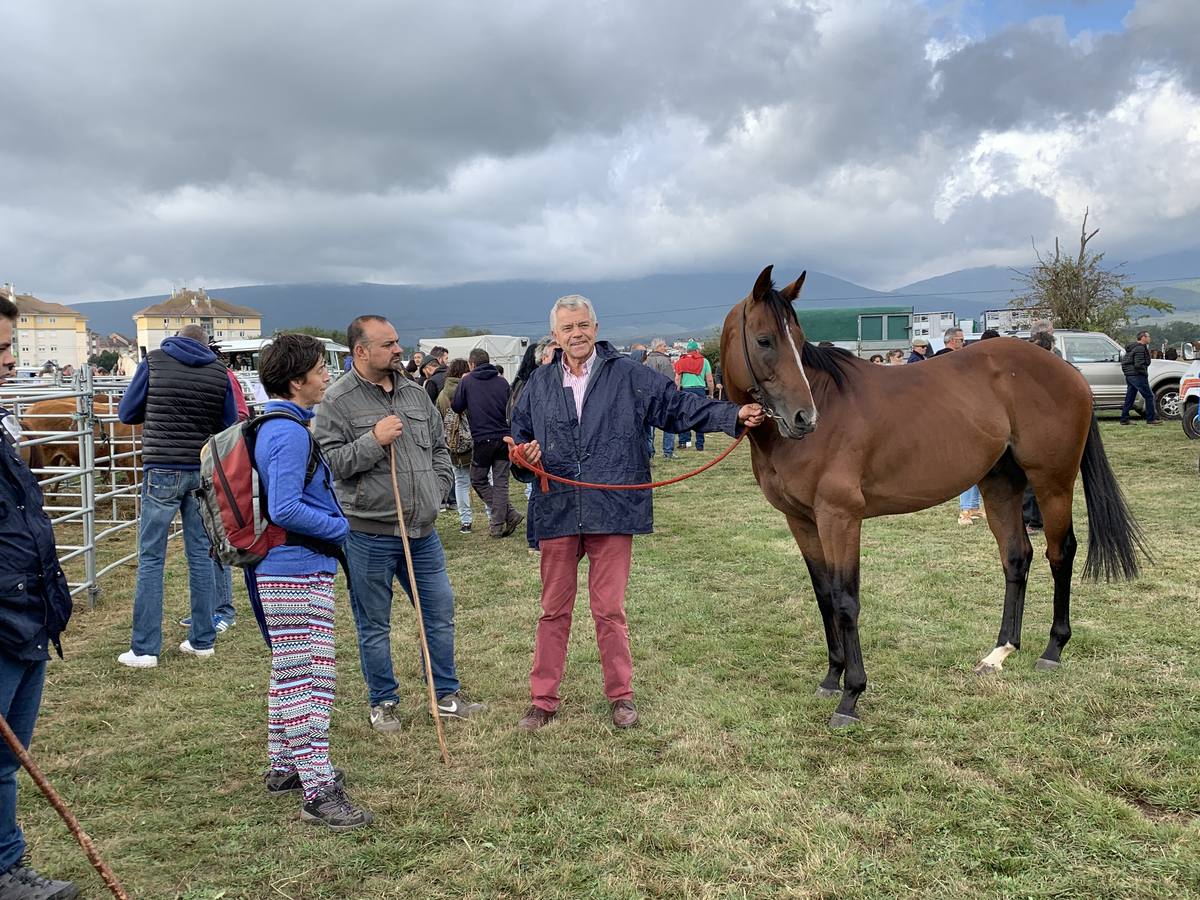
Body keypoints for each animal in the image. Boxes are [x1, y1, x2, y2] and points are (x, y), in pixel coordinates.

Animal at [720, 266, 1142, 724]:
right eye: (765, 340)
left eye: (797, 341)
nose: (804, 418)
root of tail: (1067, 370)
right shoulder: (801, 521)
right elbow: (824, 596)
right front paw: (831, 677)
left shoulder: (840, 518)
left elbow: (846, 600)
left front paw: (851, 695)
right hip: (1000, 484)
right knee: (1017, 557)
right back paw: (999, 652)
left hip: (1052, 482)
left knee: (1060, 553)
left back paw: (1052, 649)